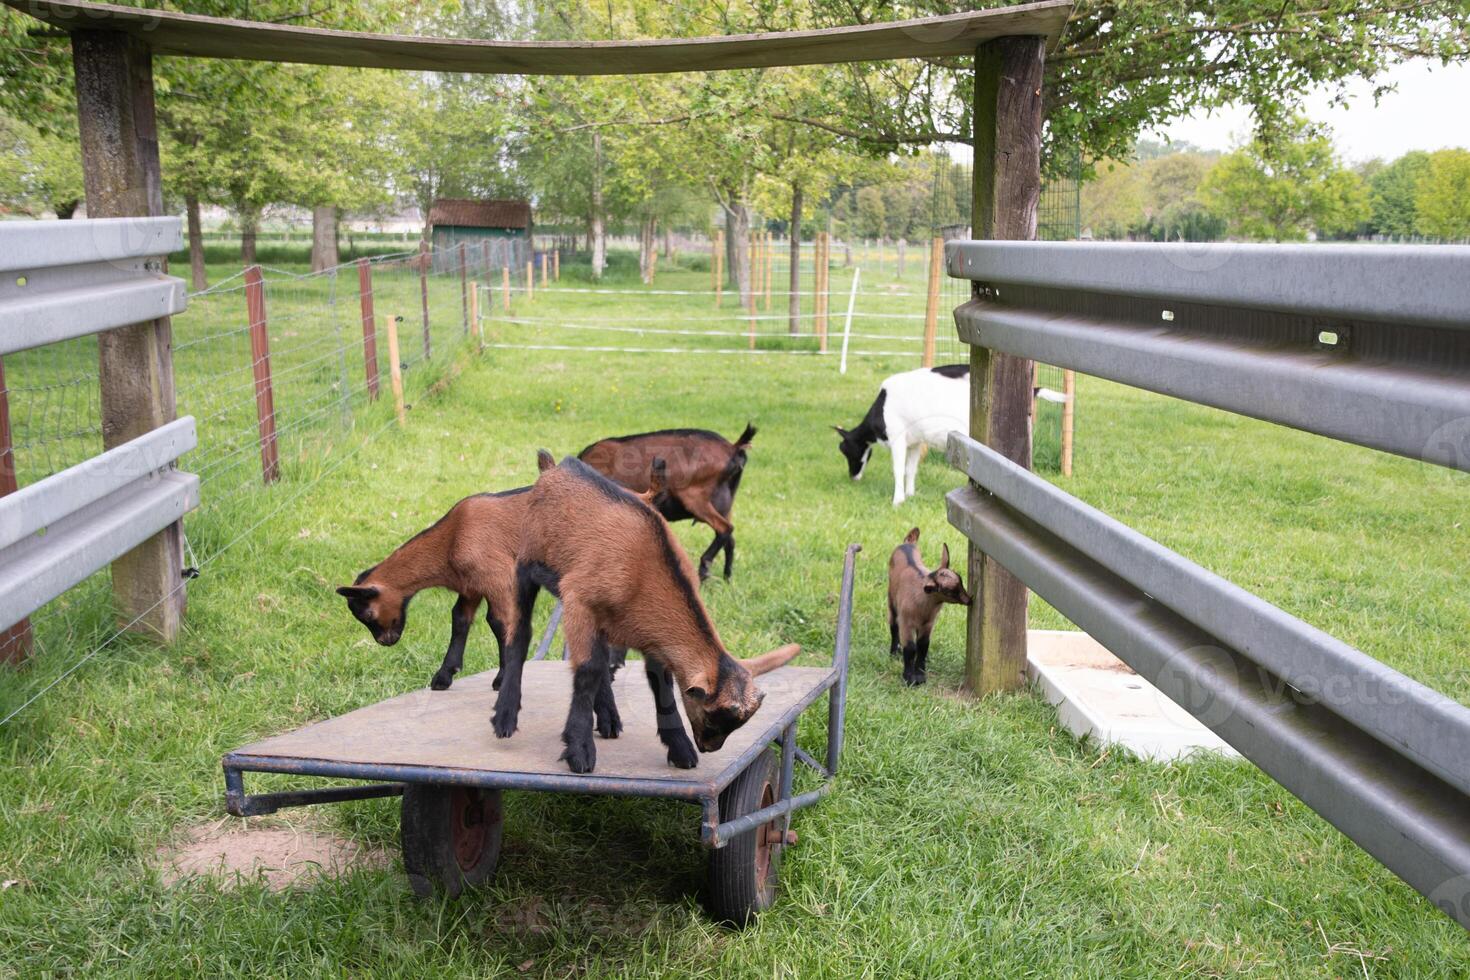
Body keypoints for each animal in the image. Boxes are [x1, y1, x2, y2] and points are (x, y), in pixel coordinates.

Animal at [490, 458, 793, 775]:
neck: (644, 568)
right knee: (520, 634)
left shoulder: (648, 635)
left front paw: (680, 748)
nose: (709, 747)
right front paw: (580, 750)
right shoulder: (579, 602)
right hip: (527, 565)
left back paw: (609, 718)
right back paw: (505, 716)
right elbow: (587, 671)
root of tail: (553, 467)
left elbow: (659, 681)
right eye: (713, 716)